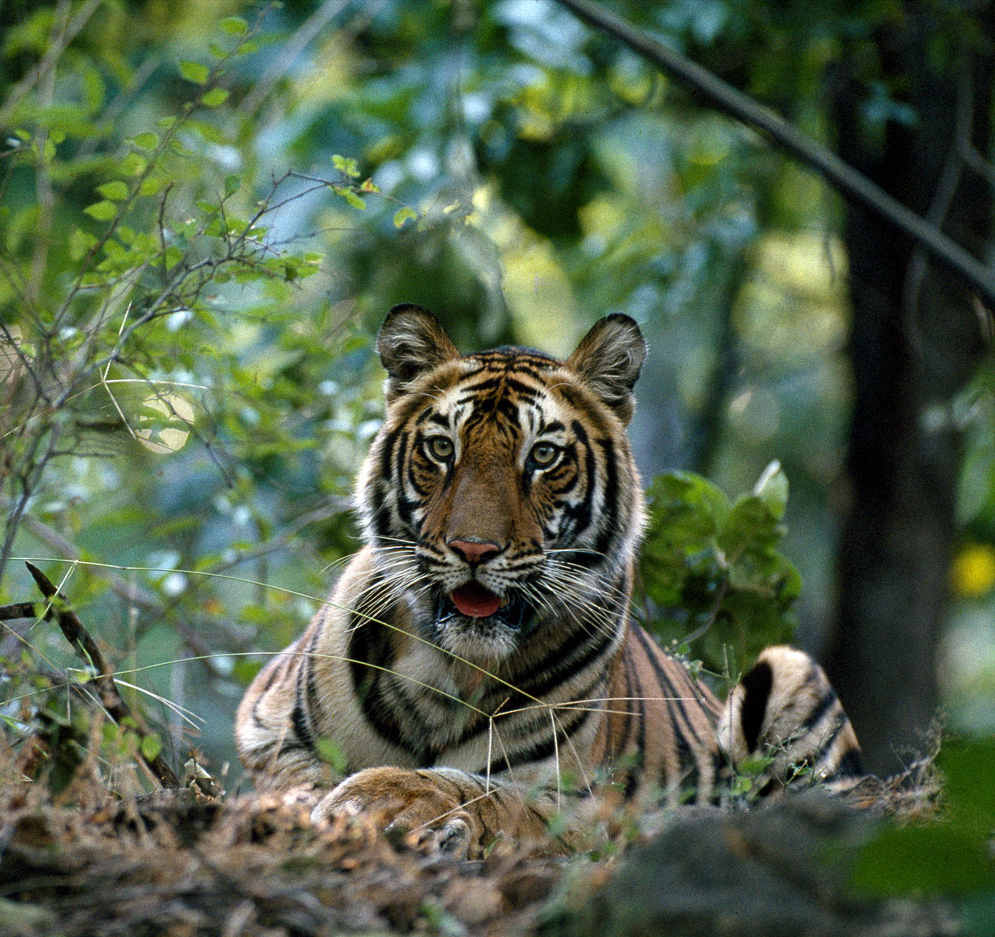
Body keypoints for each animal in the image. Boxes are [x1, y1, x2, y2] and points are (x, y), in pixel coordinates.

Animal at [235, 304, 863, 856]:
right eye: (442, 448)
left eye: (542, 457)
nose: (474, 549)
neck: (451, 674)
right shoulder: (263, 727)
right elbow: (297, 777)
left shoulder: (581, 802)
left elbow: (483, 791)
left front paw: (386, 797)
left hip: (791, 670)